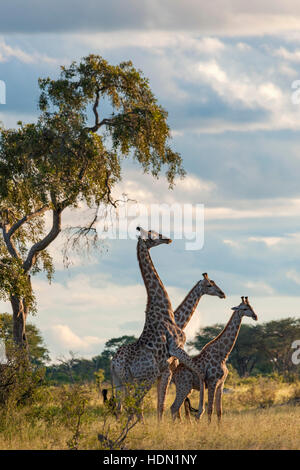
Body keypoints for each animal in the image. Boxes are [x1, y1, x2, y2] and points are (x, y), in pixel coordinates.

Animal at [110, 227, 216, 418]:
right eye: (153, 234)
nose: (168, 239)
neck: (165, 311)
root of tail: (113, 363)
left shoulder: (166, 367)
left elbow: (163, 402)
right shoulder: (175, 351)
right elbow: (196, 373)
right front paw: (199, 411)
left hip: (122, 382)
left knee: (122, 408)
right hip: (143, 378)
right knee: (134, 405)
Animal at [170, 296, 258, 424]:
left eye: (251, 307)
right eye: (244, 308)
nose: (255, 316)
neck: (223, 354)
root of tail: (174, 374)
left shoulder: (221, 384)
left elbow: (219, 410)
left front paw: (218, 427)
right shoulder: (213, 382)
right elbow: (210, 409)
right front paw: (208, 426)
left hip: (186, 388)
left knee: (179, 408)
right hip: (184, 386)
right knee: (174, 407)